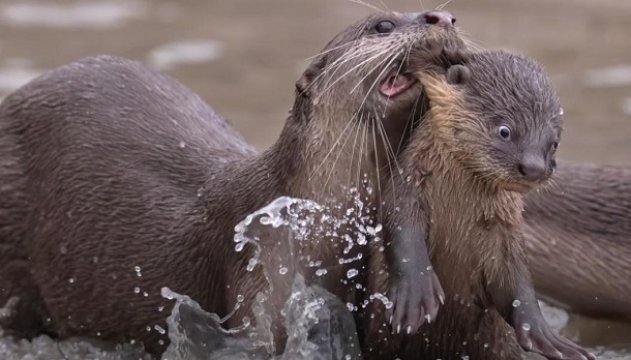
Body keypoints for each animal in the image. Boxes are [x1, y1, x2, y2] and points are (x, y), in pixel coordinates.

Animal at [368, 50, 596, 358]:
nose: (534, 168)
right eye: (505, 130)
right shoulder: (407, 188)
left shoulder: (505, 232)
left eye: (554, 143)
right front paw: (415, 295)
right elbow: (403, 233)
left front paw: (546, 335)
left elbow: (517, 282)